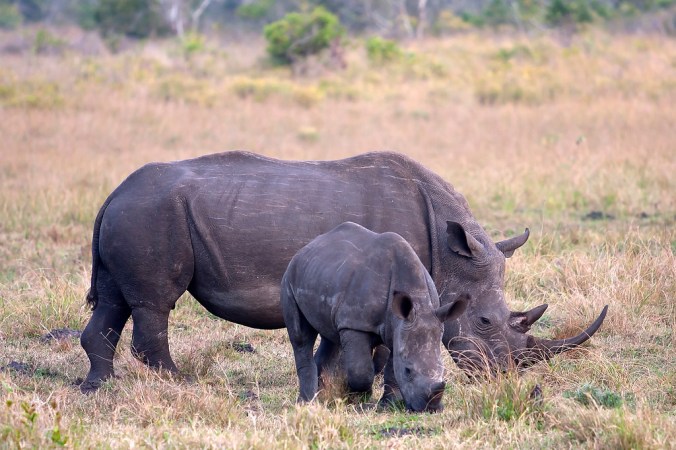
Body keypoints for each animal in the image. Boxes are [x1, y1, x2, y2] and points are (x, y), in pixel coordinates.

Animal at [80, 151, 607, 392]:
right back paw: (181, 383)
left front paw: (330, 383)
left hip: (136, 212)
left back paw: (98, 389)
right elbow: (386, 345)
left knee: (114, 301)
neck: (448, 253)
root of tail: (111, 194)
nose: (502, 378)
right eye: (483, 321)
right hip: (150, 214)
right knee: (154, 303)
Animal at [282, 222, 468, 411]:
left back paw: (320, 396)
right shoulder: (355, 323)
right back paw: (306, 403)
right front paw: (357, 397)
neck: (418, 299)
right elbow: (361, 371)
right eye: (408, 371)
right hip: (289, 277)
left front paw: (388, 404)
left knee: (330, 335)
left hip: (323, 274)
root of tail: (305, 248)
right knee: (301, 338)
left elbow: (392, 368)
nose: (431, 408)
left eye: (442, 369)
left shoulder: (397, 326)